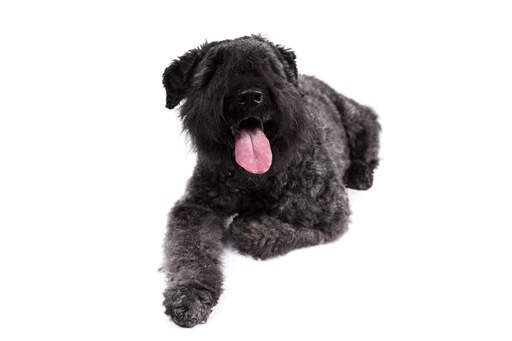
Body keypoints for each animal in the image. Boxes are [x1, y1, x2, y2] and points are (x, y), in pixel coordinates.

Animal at [160, 35, 380, 326]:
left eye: (268, 65)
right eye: (213, 69)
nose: (249, 96)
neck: (254, 178)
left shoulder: (330, 213)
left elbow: (265, 231)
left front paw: (248, 222)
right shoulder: (197, 206)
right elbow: (190, 249)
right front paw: (189, 295)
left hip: (355, 117)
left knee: (370, 132)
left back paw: (360, 172)